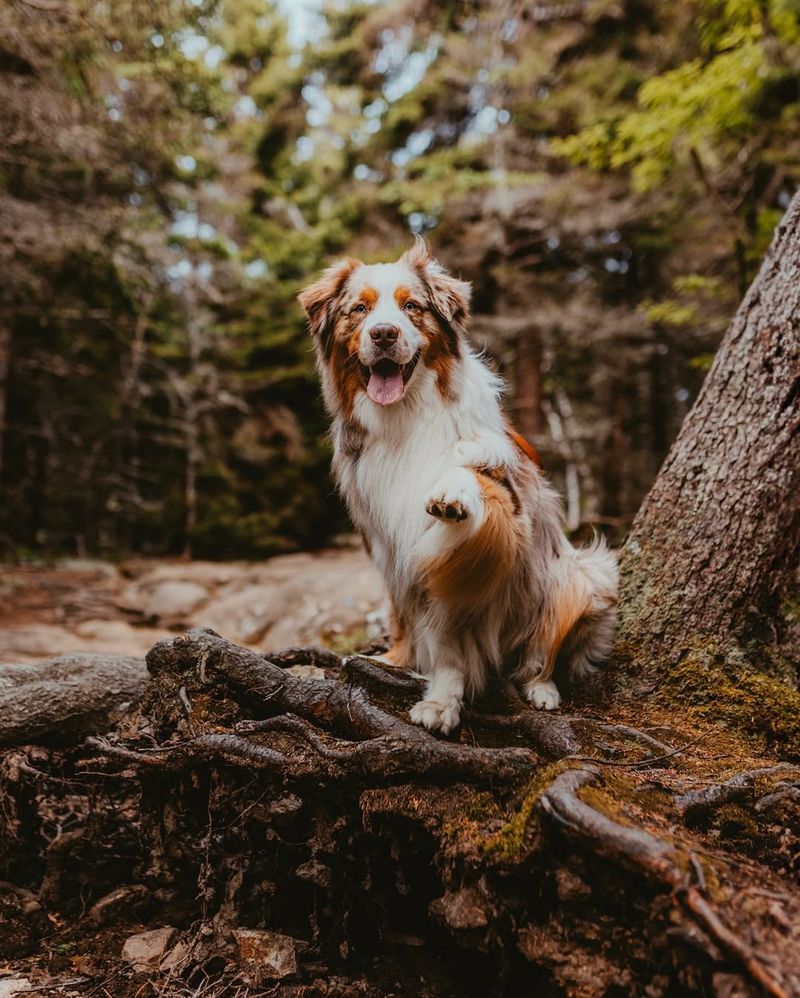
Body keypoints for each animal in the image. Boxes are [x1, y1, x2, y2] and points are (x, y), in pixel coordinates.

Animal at [300, 244, 620, 736]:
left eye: (412, 306)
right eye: (360, 309)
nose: (384, 333)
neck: (405, 418)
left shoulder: (502, 516)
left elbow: (467, 472)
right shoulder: (387, 546)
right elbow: (419, 626)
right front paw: (420, 678)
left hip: (581, 574)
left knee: (543, 651)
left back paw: (541, 688)